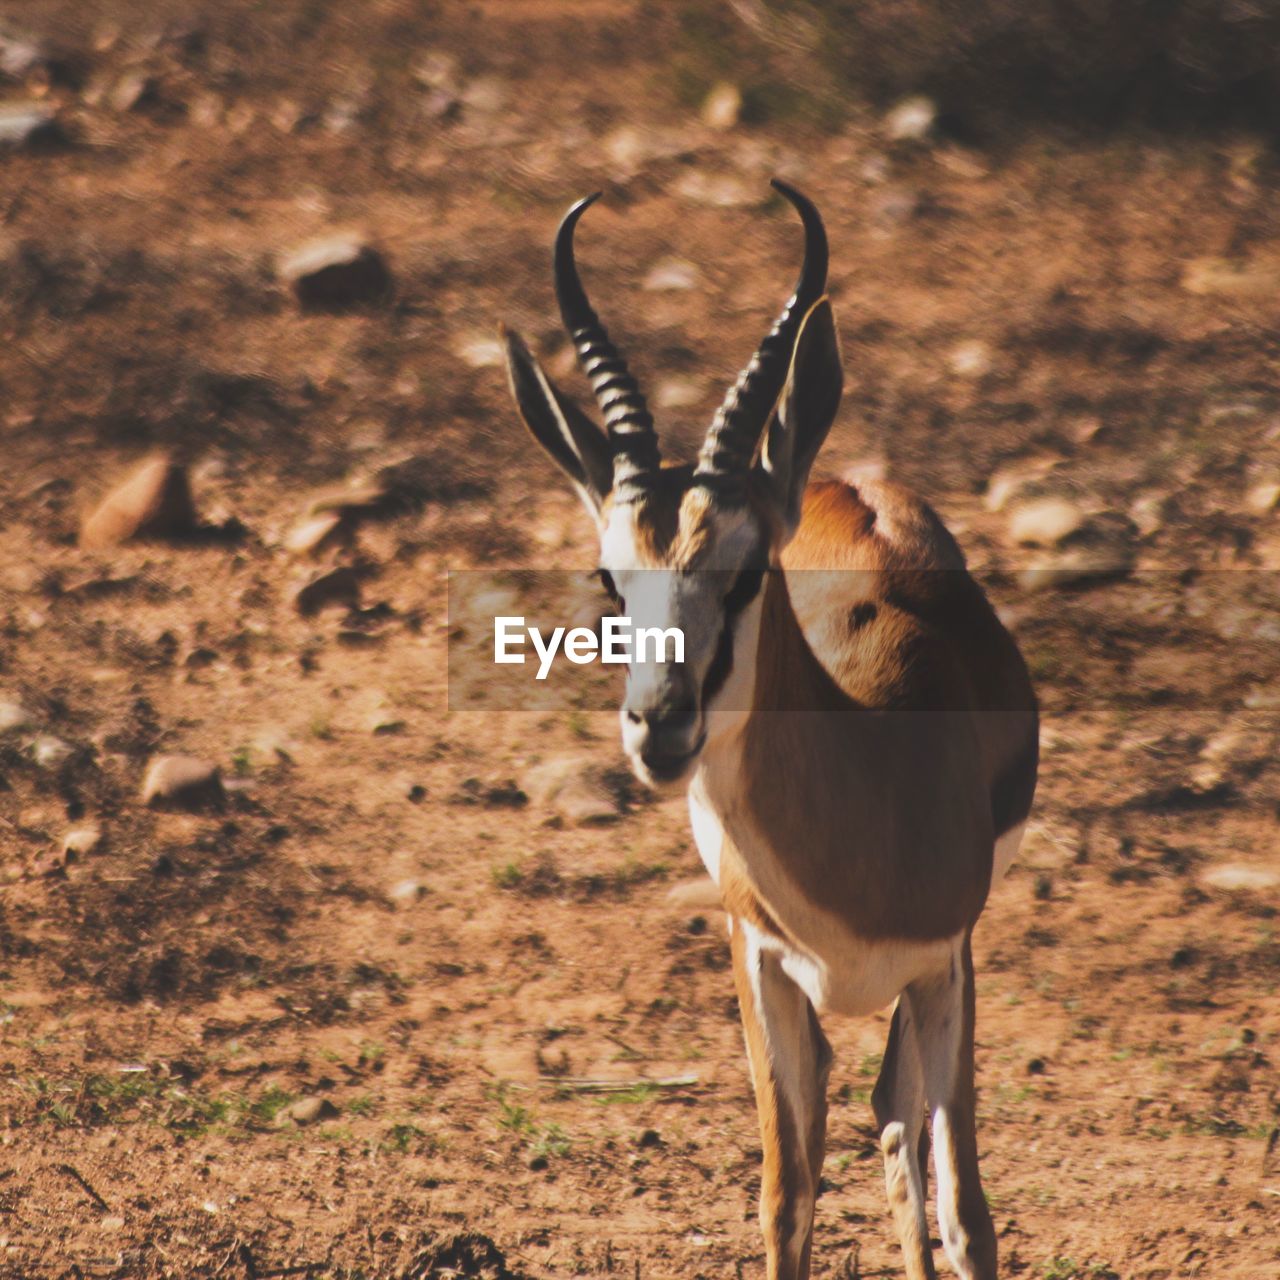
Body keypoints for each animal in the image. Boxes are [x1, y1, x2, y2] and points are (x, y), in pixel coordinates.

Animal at [499, 183, 1039, 1280]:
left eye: (746, 570)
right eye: (610, 577)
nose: (659, 723)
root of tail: (840, 483)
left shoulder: (943, 963)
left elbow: (968, 1210)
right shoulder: (758, 963)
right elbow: (784, 1200)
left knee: (899, 1117)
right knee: (879, 1113)